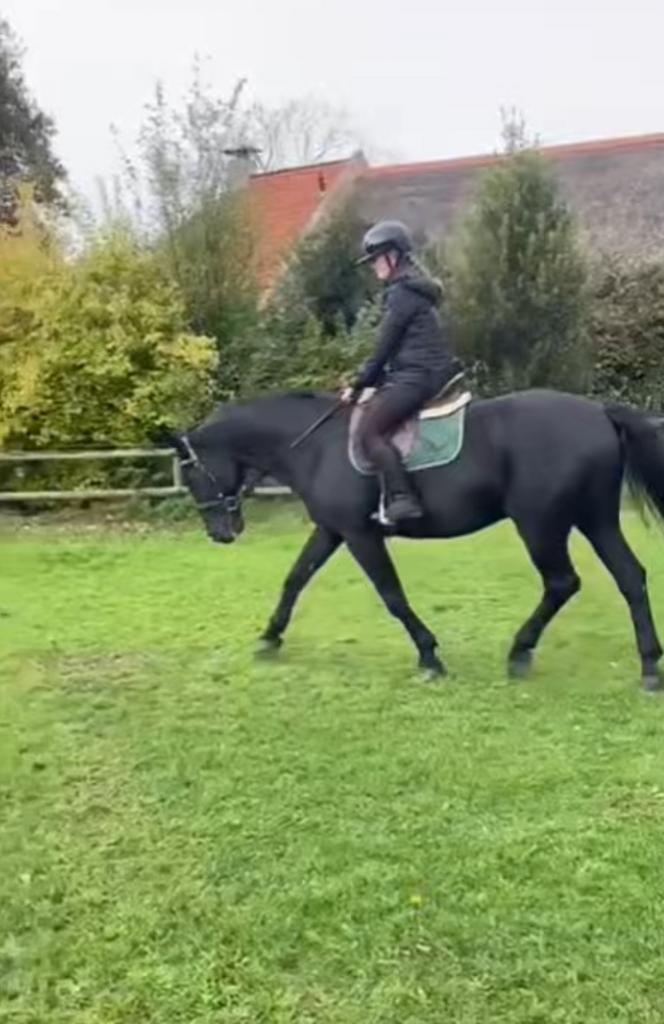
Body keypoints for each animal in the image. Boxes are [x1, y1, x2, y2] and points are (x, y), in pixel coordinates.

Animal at [162, 389, 664, 691]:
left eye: (190, 472)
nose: (221, 533)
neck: (316, 446)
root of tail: (599, 413)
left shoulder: (360, 534)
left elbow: (392, 595)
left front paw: (428, 656)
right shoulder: (332, 529)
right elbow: (295, 579)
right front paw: (269, 638)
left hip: (541, 523)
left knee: (562, 583)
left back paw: (520, 652)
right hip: (595, 519)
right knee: (630, 577)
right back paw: (649, 668)